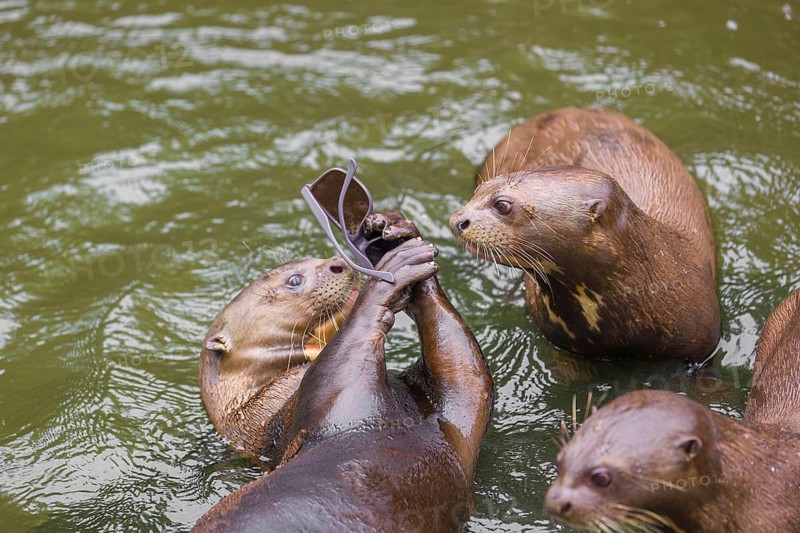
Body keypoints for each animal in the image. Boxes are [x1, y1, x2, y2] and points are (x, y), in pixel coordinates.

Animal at [195, 216, 494, 532]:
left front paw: (394, 231)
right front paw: (392, 270)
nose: (338, 263)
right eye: (294, 280)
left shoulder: (456, 425)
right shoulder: (343, 404)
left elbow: (465, 372)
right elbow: (348, 349)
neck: (266, 413)